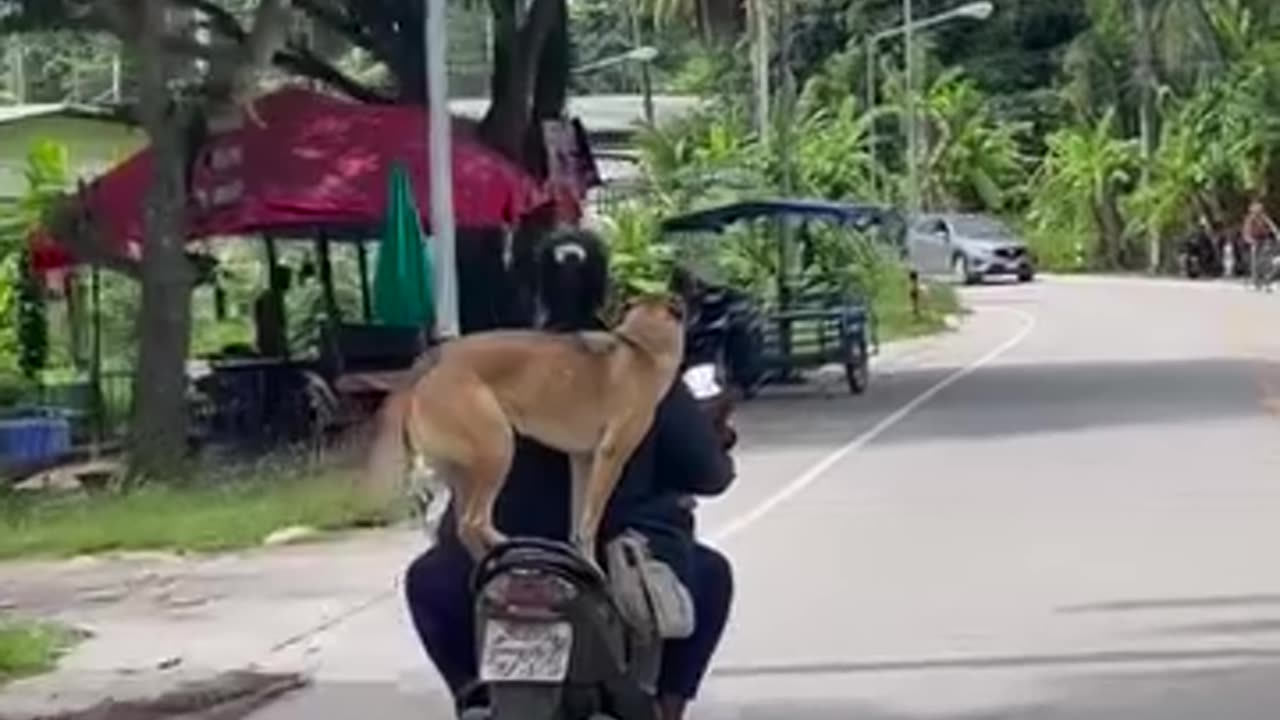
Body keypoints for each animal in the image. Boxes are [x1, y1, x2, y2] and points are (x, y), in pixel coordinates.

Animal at [366, 295, 686, 561]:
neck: (641, 347)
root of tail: (430, 361)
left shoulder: (582, 460)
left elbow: (578, 520)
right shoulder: (611, 457)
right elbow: (590, 522)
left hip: (461, 470)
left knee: (454, 524)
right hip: (498, 448)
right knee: (474, 521)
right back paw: (507, 545)